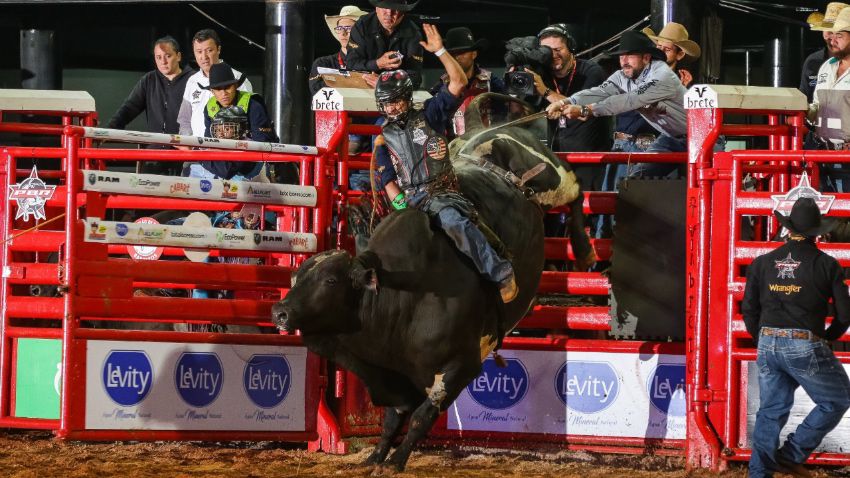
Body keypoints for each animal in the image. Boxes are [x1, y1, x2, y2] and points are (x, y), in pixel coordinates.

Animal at [272, 94, 584, 474]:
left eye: (331, 280)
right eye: (297, 275)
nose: (281, 312)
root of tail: (481, 133)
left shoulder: (462, 365)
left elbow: (423, 415)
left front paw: (395, 462)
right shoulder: (394, 376)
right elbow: (394, 417)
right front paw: (375, 457)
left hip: (553, 178)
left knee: (575, 190)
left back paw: (584, 249)